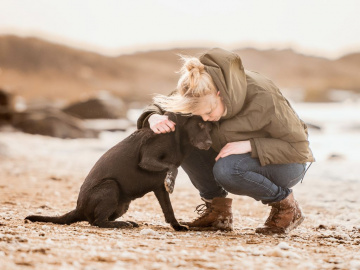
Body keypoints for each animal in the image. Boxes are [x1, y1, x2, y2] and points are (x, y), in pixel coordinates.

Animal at [25, 113, 212, 231]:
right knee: (97, 222)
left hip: (122, 204)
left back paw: (126, 221)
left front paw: (177, 226)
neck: (177, 138)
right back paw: (122, 224)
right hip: (110, 185)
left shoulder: (159, 188)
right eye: (200, 124)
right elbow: (173, 166)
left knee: (97, 220)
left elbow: (169, 210)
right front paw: (171, 181)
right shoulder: (147, 159)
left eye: (209, 127)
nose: (210, 144)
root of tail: (79, 209)